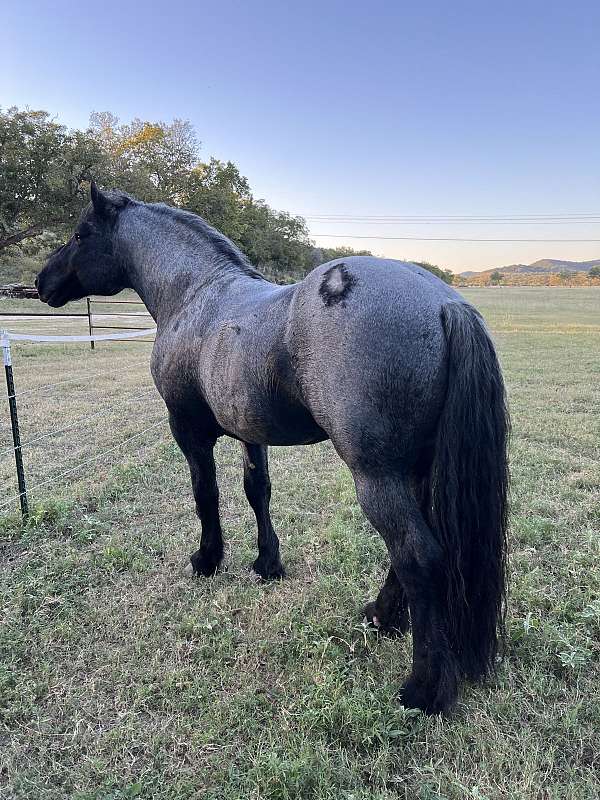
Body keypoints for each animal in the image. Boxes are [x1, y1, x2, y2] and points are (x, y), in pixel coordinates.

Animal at [35, 184, 508, 716]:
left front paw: (208, 559)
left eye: (80, 234)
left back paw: (424, 689)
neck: (196, 294)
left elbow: (206, 495)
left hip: (377, 475)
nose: (40, 282)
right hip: (415, 471)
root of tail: (444, 304)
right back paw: (382, 617)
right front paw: (267, 564)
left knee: (417, 554)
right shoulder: (250, 431)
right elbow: (256, 491)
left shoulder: (188, 431)